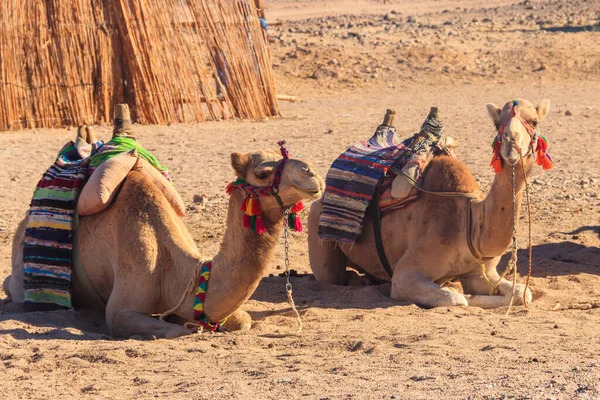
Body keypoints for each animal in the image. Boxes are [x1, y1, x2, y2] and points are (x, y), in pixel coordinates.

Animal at [3, 148, 324, 338]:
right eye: (262, 173)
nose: (313, 174)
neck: (176, 270)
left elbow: (242, 321)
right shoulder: (120, 311)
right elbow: (175, 331)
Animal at [310, 99, 552, 310]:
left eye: (533, 121)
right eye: (496, 123)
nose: (511, 145)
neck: (470, 222)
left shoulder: (480, 272)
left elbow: (523, 293)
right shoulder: (405, 274)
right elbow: (457, 299)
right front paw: (459, 293)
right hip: (317, 226)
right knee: (330, 275)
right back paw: (355, 279)